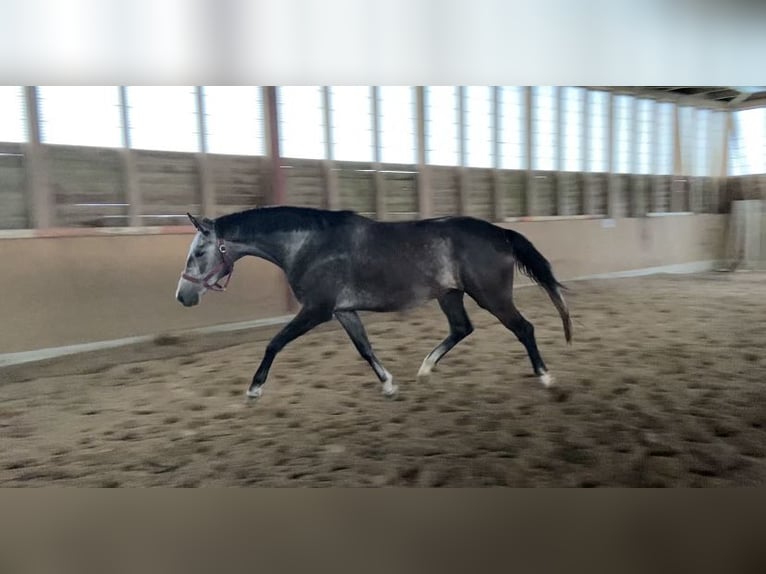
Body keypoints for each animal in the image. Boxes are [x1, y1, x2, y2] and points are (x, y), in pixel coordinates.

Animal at [174, 207, 568, 400]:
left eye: (199, 252)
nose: (182, 296)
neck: (310, 245)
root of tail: (501, 233)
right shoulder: (343, 311)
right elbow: (364, 348)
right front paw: (390, 384)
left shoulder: (316, 310)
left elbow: (274, 343)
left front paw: (254, 388)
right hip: (450, 294)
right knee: (462, 328)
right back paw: (425, 368)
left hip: (491, 295)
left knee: (523, 328)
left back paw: (546, 377)